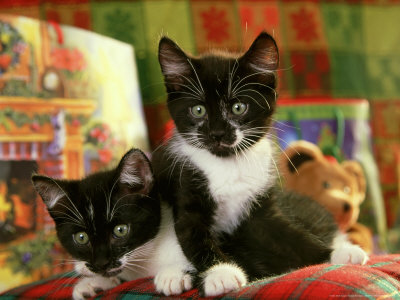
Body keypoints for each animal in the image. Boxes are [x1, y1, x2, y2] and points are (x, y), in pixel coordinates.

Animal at [151, 31, 368, 296]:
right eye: (198, 110)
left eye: (238, 107)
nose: (217, 134)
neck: (228, 165)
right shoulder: (185, 187)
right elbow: (195, 238)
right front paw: (221, 273)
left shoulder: (261, 209)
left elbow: (291, 235)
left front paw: (337, 253)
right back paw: (172, 275)